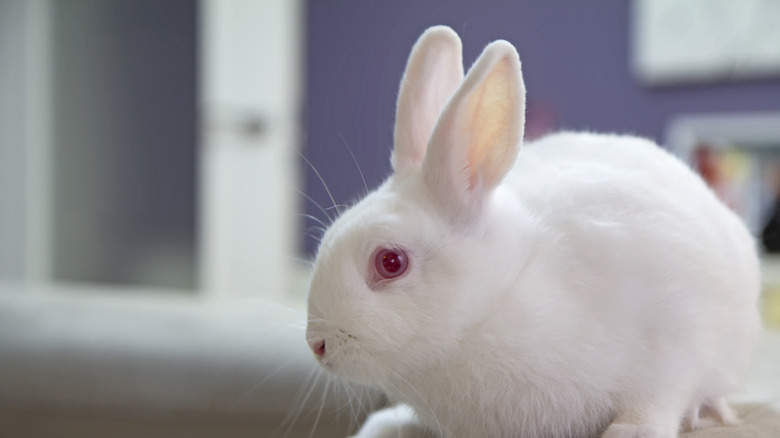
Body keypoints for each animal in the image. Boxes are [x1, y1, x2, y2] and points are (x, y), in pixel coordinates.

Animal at [304, 25, 760, 436]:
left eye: (390, 262)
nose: (317, 344)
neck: (496, 298)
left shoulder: (674, 341)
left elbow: (656, 402)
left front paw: (631, 430)